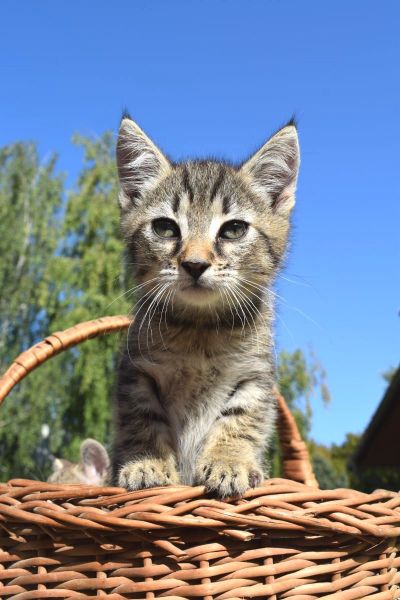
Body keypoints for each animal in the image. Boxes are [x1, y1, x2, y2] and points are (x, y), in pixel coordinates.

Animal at [111, 116, 298, 496]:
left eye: (234, 230)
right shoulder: (135, 371)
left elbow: (240, 420)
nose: (194, 264)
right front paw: (147, 463)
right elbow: (142, 417)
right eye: (165, 228)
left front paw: (229, 463)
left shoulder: (255, 376)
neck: (200, 329)